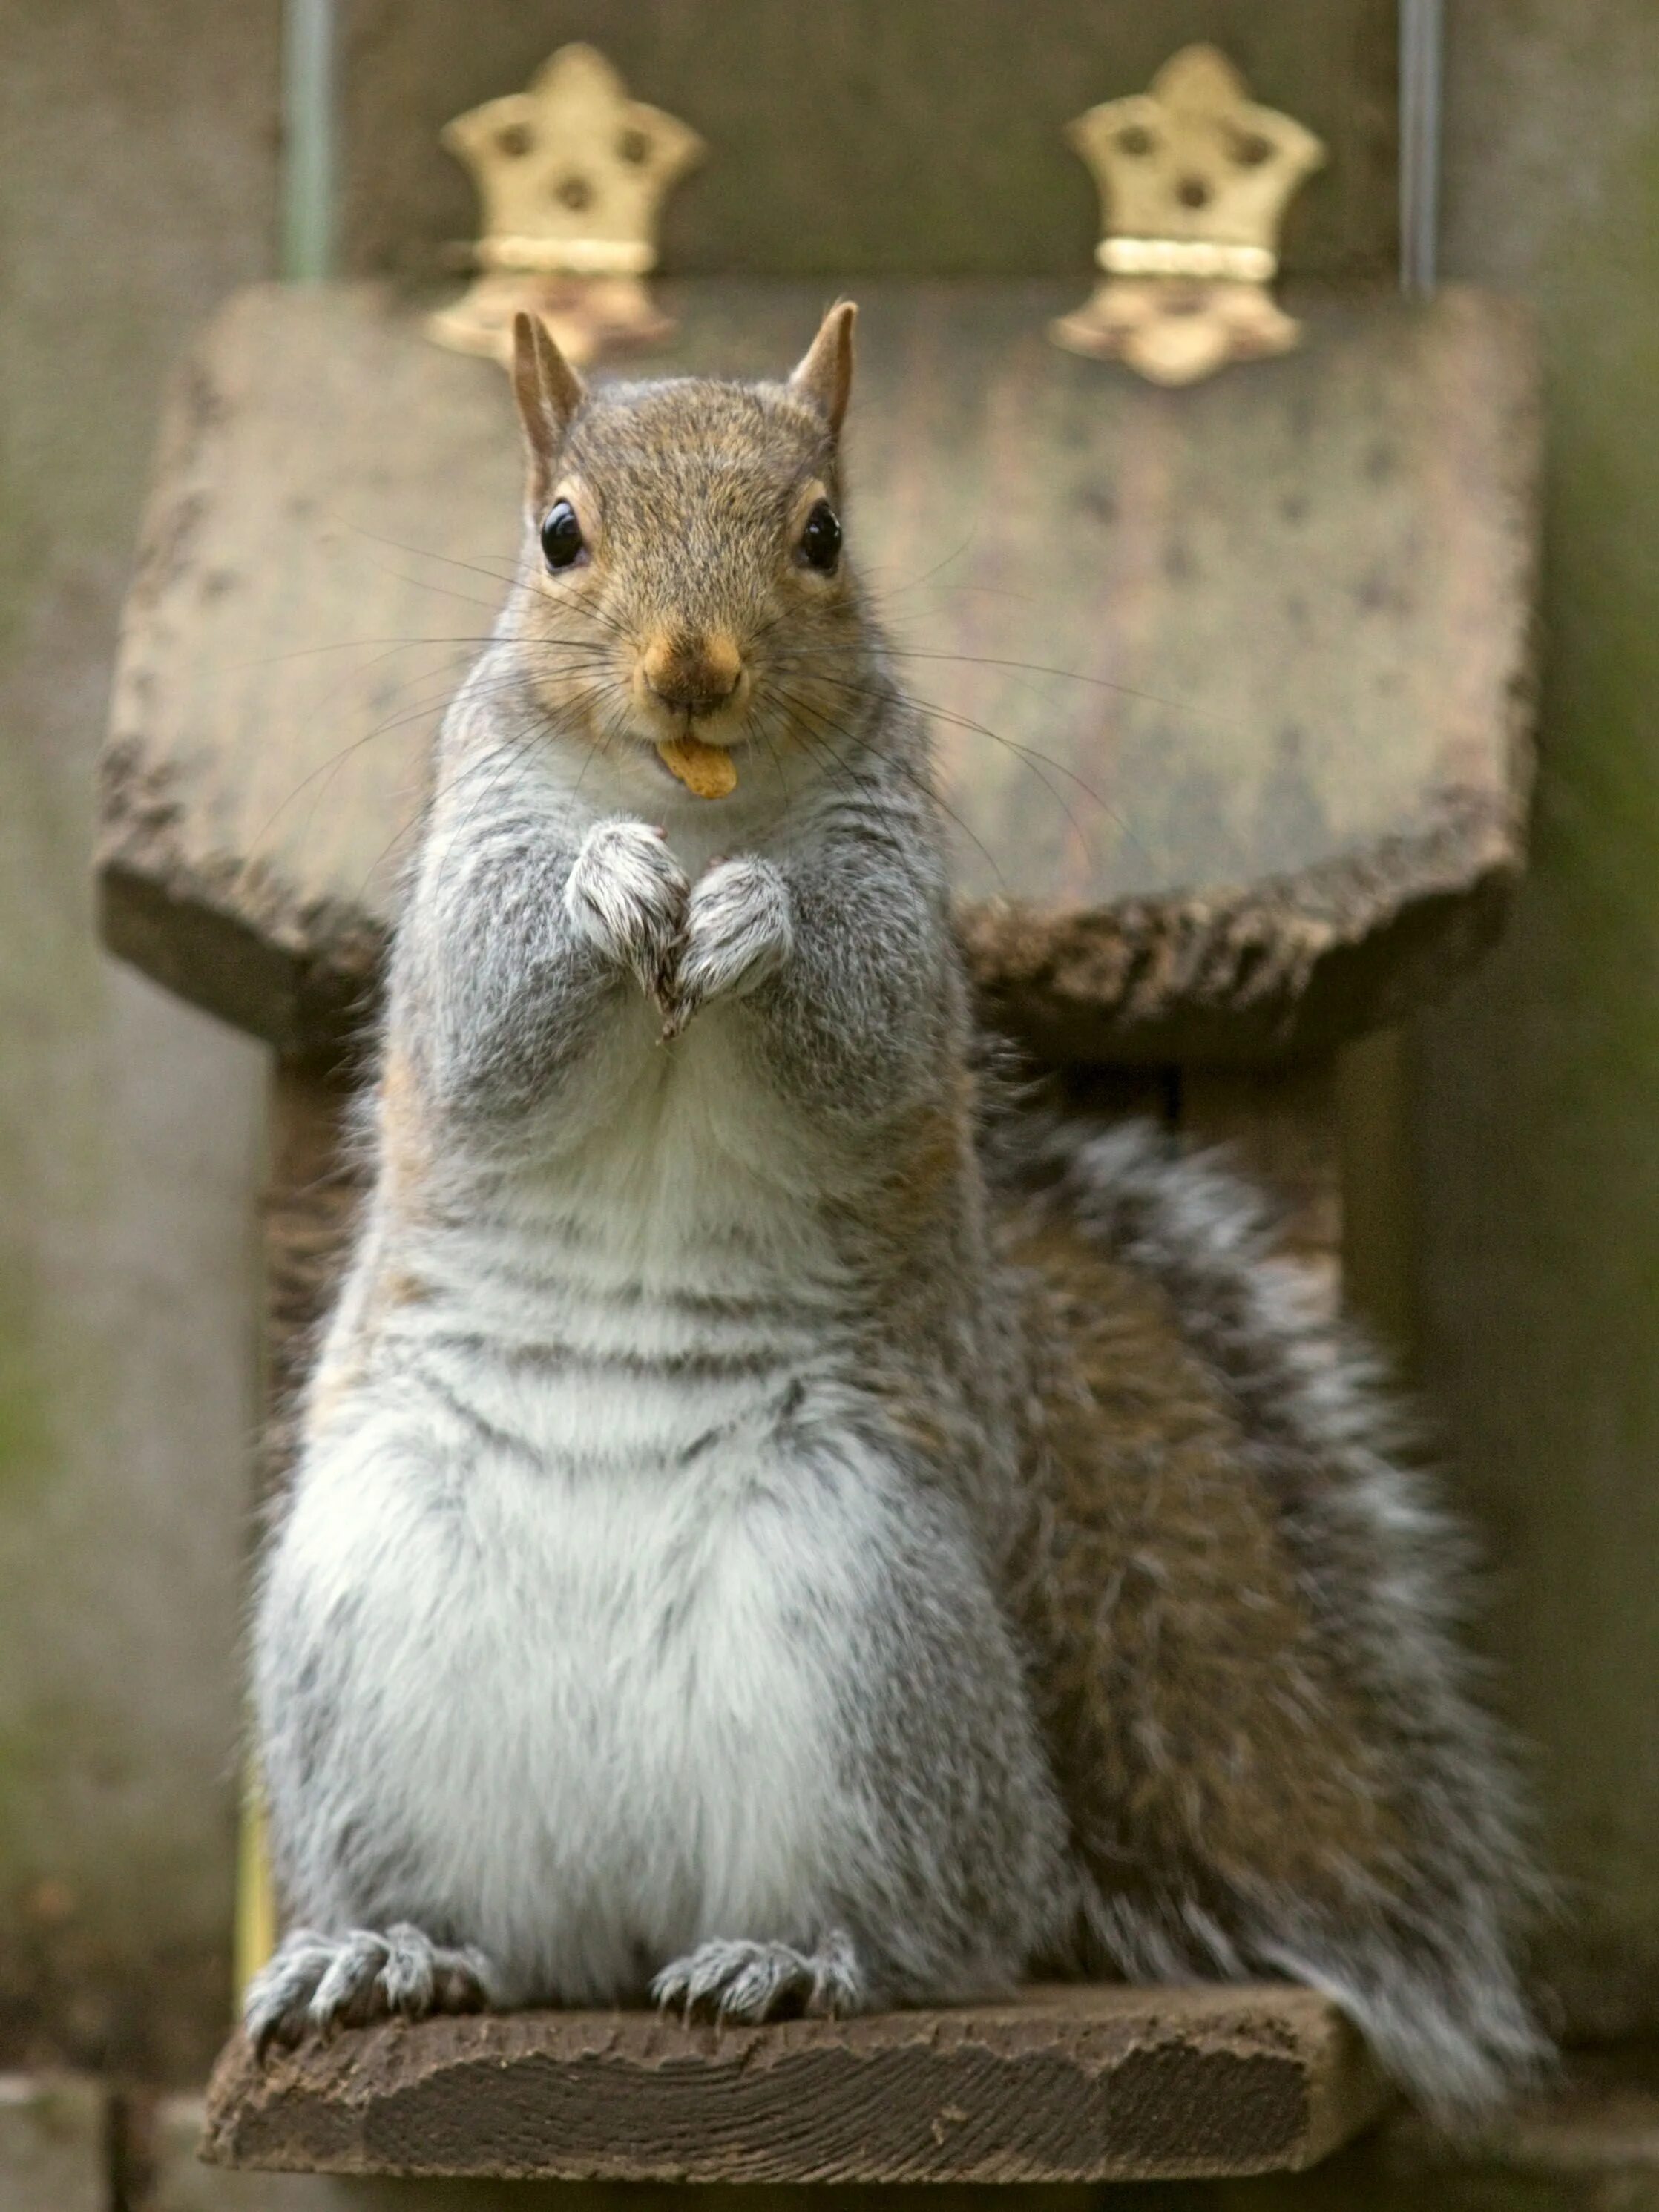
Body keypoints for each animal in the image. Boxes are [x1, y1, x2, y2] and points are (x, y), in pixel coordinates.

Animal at [246, 303, 1548, 2114]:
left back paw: (799, 1957)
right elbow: (491, 1024)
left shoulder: (899, 906)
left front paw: (757, 921)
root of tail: (623, 1910)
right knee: (467, 1910)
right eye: (557, 535)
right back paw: (386, 1951)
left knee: (945, 1921)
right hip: (361, 1644)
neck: (694, 806)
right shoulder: (461, 888)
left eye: (825, 538)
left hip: (866, 1629)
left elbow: (859, 1031)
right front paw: (600, 889)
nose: (696, 669)